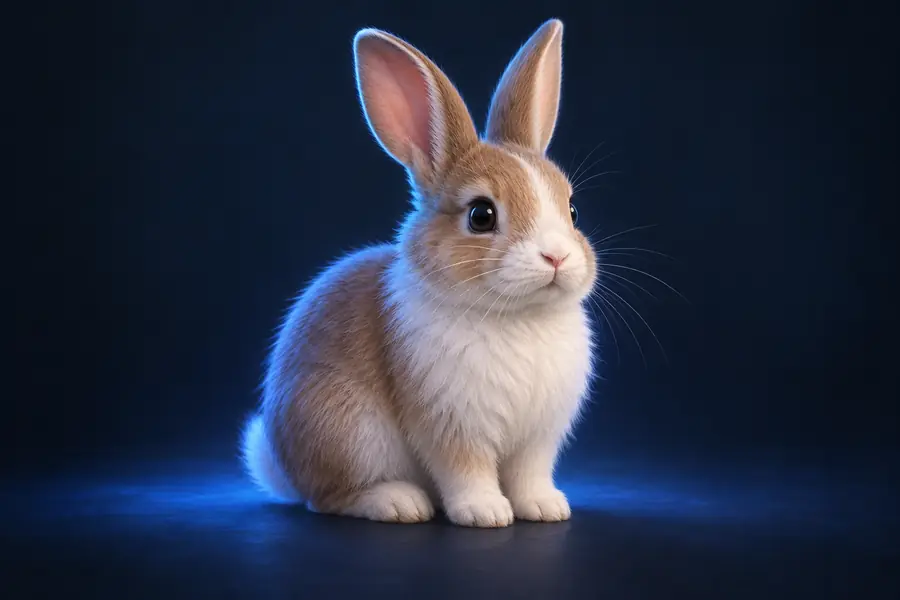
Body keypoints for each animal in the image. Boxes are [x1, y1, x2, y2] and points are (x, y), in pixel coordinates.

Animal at [241, 18, 597, 528]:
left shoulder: (537, 438)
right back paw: (398, 502)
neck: (517, 316)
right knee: (327, 498)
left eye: (572, 209)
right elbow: (465, 471)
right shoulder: (449, 426)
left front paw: (546, 507)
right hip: (348, 433)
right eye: (481, 215)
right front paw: (486, 513)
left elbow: (530, 474)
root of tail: (285, 466)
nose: (557, 258)